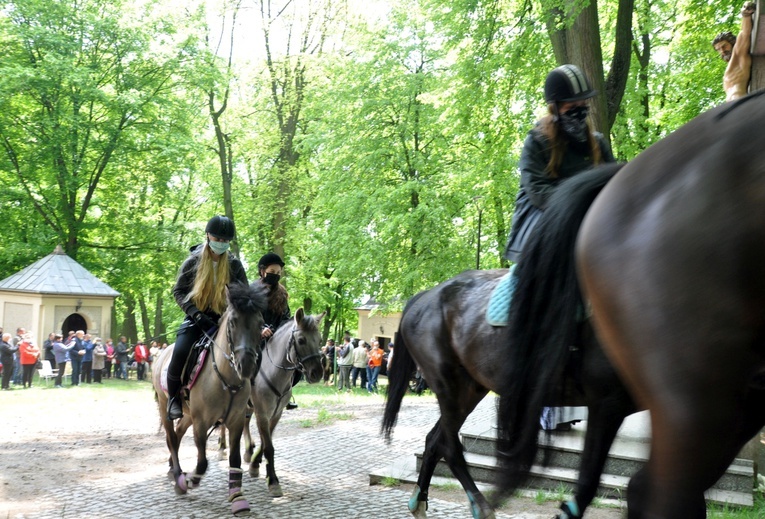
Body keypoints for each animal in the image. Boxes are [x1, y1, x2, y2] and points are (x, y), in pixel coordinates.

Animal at [151, 282, 268, 516]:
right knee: (171, 438)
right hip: (165, 407)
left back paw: (172, 470)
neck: (225, 378)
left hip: (188, 414)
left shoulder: (235, 420)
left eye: (260, 322)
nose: (246, 365)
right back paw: (178, 475)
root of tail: (160, 355)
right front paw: (189, 480)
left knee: (178, 434)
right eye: (233, 322)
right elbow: (203, 461)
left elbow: (235, 458)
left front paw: (237, 496)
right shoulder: (202, 422)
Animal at [382, 205, 640, 519]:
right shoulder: (607, 403)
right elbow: (590, 482)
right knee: (447, 445)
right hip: (450, 387)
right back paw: (480, 506)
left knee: (436, 440)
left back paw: (420, 500)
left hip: (470, 389)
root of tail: (424, 296)